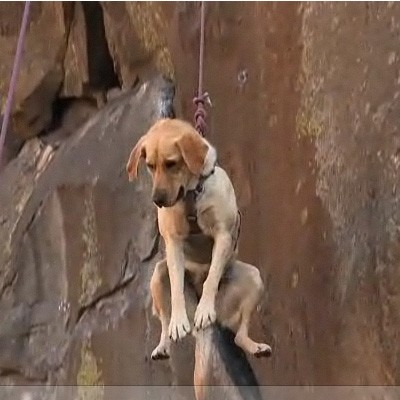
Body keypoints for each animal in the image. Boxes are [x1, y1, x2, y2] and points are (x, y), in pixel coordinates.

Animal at [127, 118, 272, 360]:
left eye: (171, 163)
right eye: (150, 166)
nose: (157, 200)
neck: (191, 195)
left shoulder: (223, 236)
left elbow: (211, 277)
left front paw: (205, 309)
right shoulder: (174, 243)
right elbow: (176, 287)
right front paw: (178, 322)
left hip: (254, 278)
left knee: (239, 335)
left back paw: (254, 346)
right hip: (157, 276)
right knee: (164, 322)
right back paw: (164, 344)